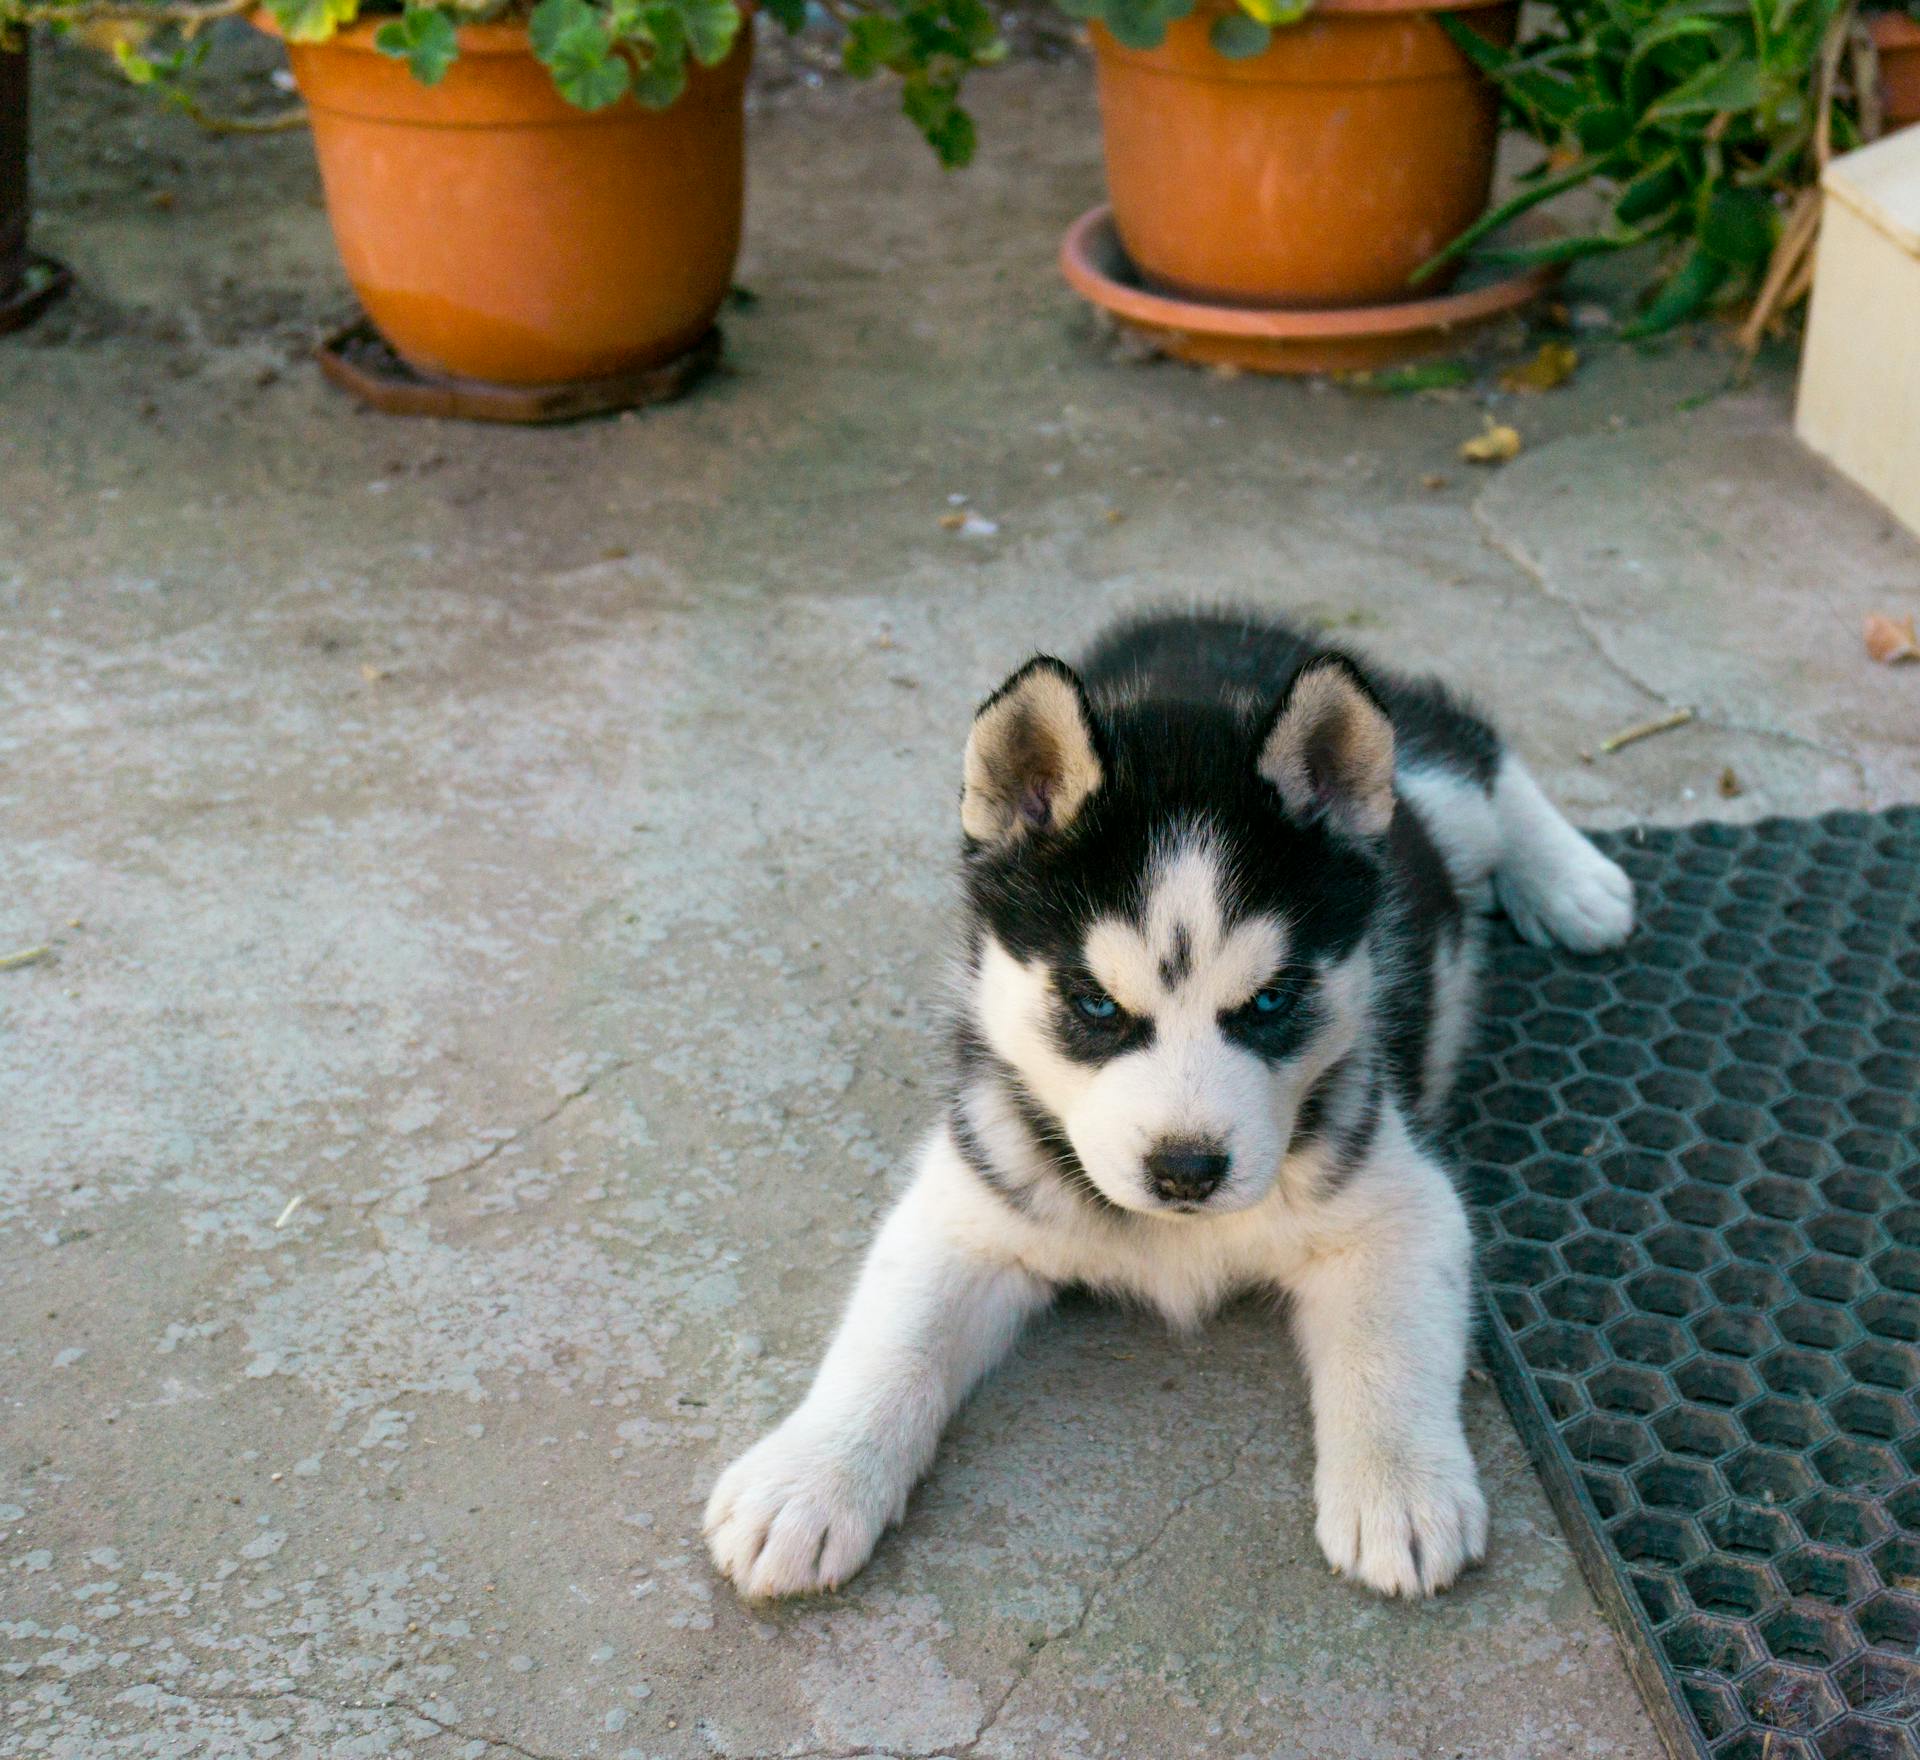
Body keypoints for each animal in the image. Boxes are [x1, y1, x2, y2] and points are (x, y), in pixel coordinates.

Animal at [706, 610, 1635, 1596]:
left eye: (1270, 1002)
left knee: (1470, 747)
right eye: (1094, 1005)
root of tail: (1207, 620)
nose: (1187, 1171)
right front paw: (808, 1478)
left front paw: (1401, 1492)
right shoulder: (973, 1194)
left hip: (1422, 785)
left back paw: (1575, 882)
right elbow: (894, 1338)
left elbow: (1387, 1343)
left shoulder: (1398, 1196)